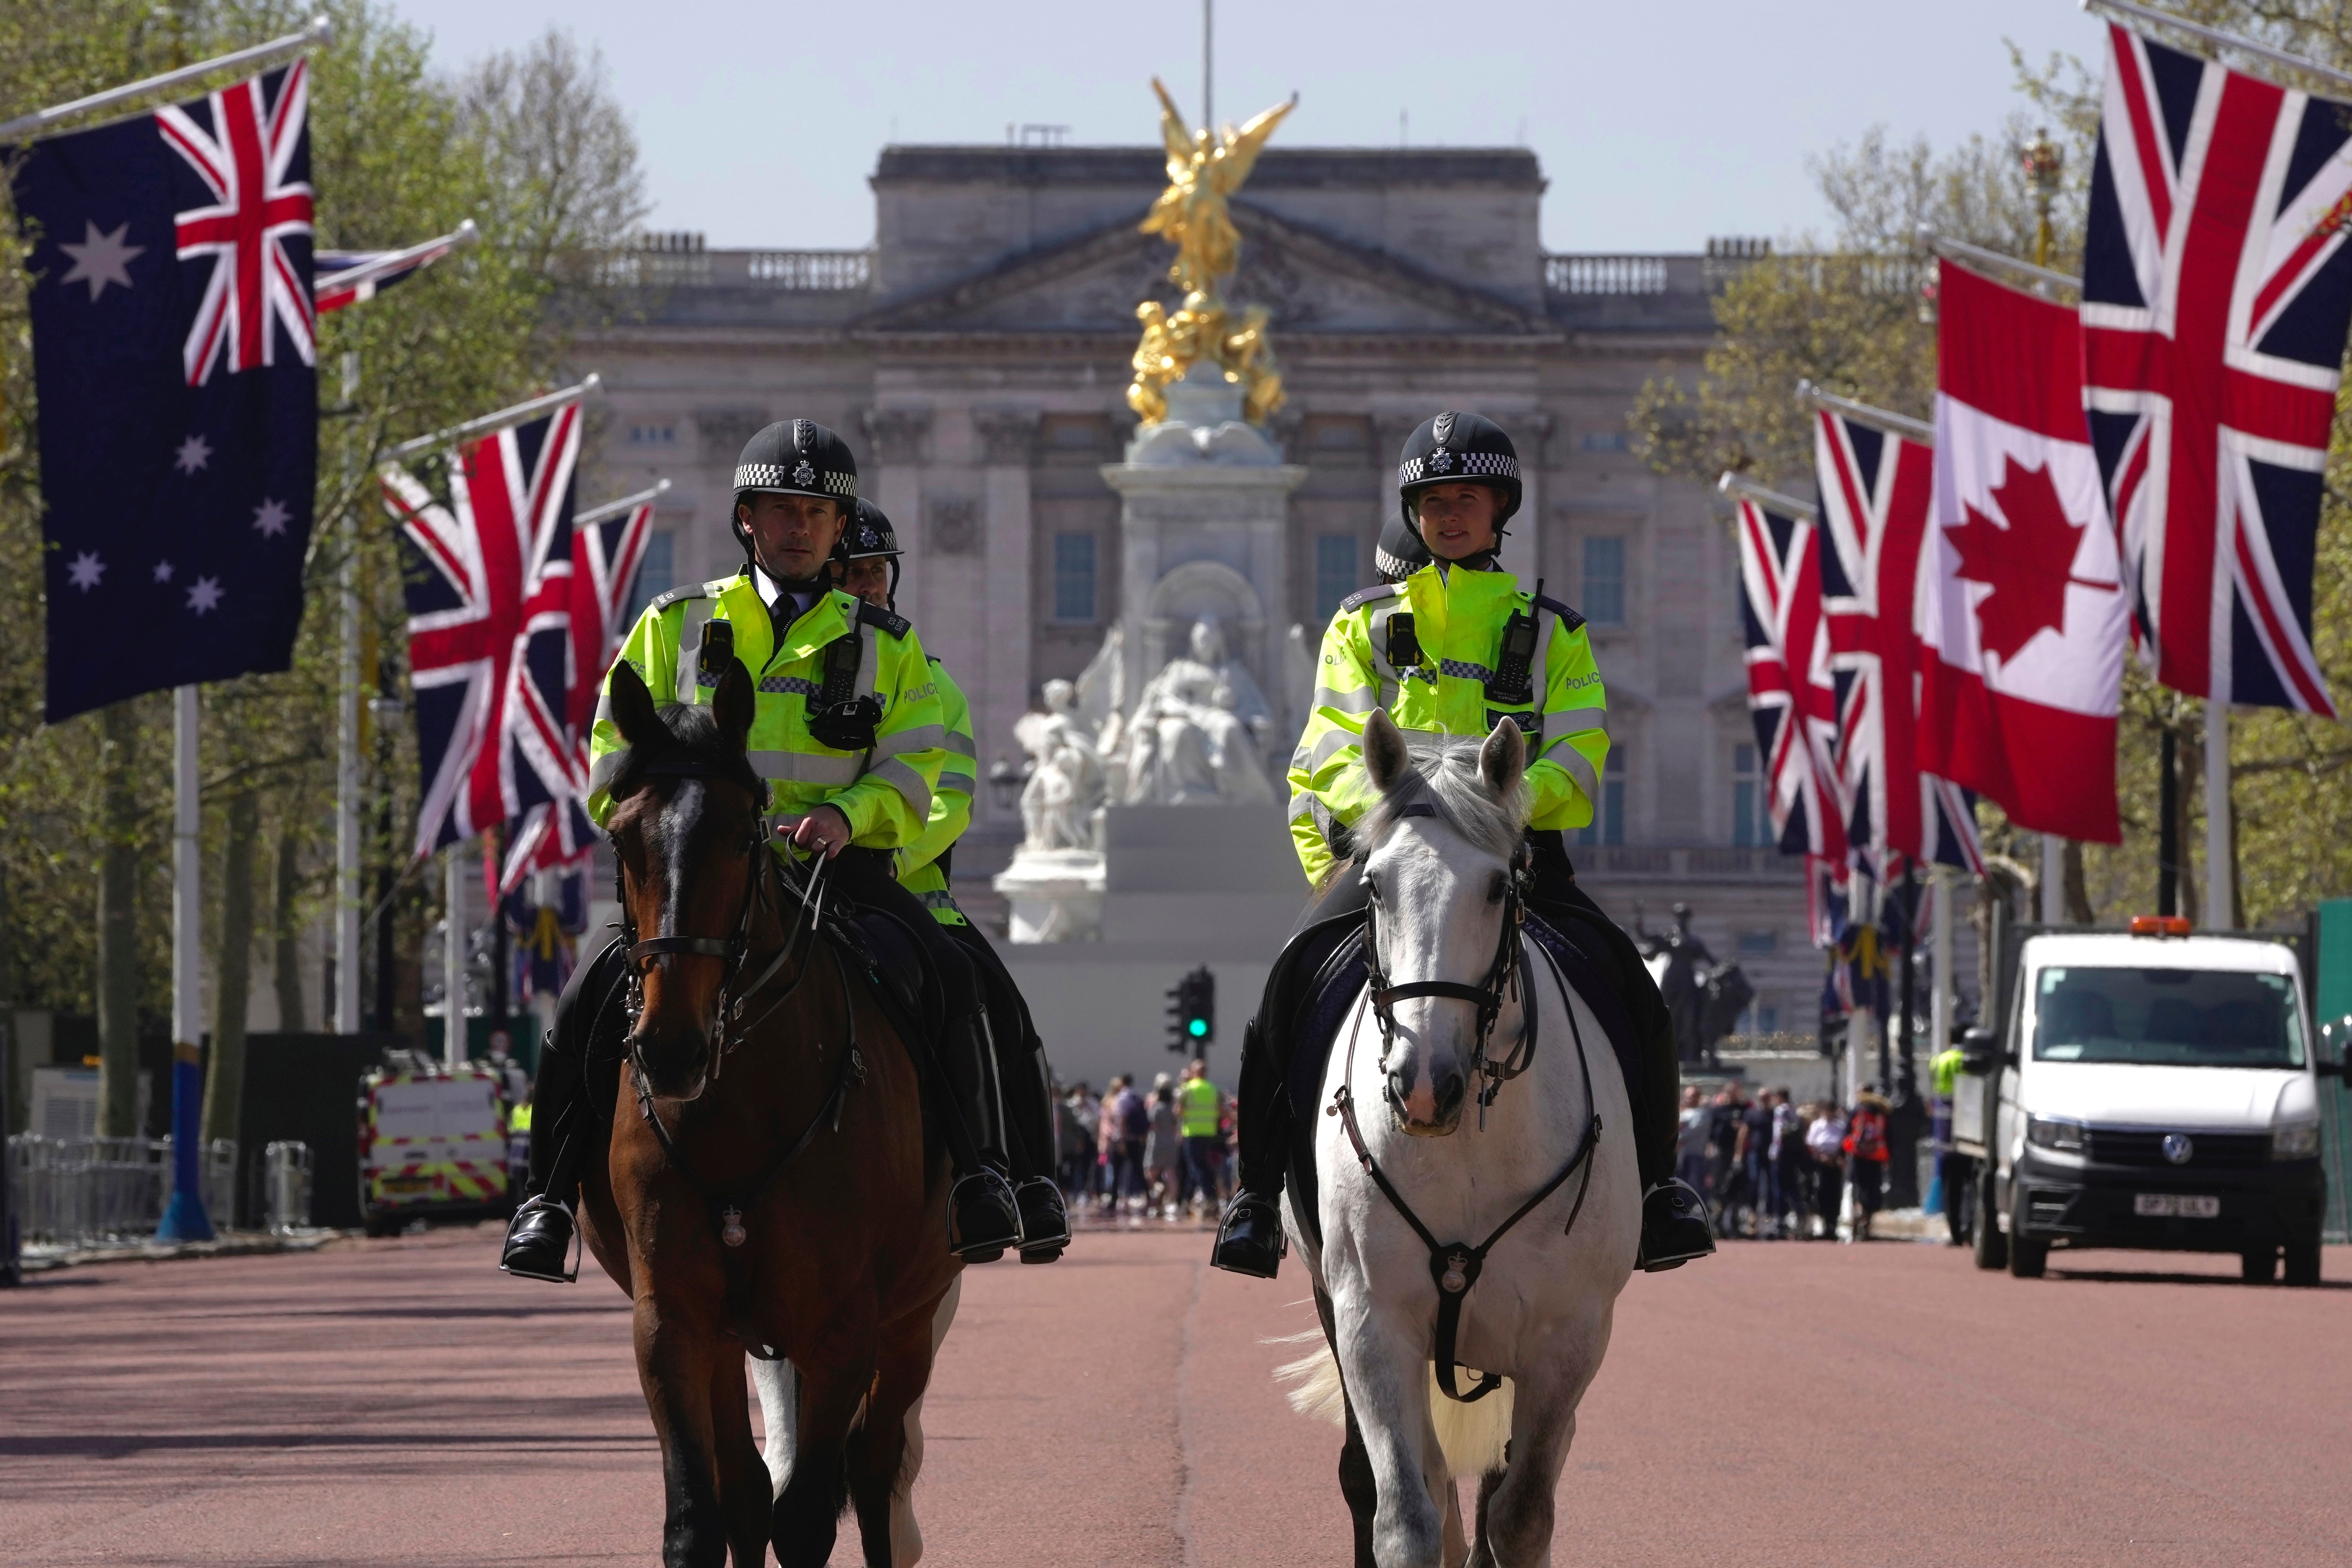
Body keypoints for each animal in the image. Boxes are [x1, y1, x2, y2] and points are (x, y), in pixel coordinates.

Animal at [574, 658, 959, 1561]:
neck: (737, 1111)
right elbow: (702, 1514)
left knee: (877, 1480)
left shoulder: (844, 1327)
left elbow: (809, 1515)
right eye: (622, 838)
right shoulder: (673, 1322)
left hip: (912, 1316)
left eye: (744, 837)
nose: (669, 1048)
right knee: (751, 1487)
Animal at [1270, 714, 1637, 1568]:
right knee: (1403, 1478)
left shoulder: (1568, 1337)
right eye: (1374, 883)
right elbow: (1406, 1509)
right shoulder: (1372, 1321)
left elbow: (1521, 1513)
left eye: (1500, 886)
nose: (1424, 1081)